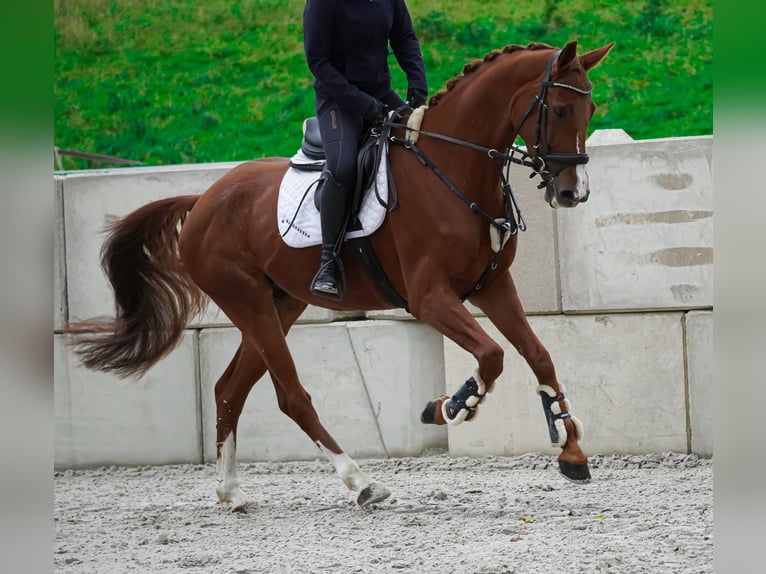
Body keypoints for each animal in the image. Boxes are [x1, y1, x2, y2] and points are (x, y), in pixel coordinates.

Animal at [70, 42, 612, 516]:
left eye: (590, 109)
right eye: (559, 109)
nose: (574, 192)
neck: (453, 171)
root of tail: (203, 199)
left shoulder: (494, 288)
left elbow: (537, 354)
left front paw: (570, 448)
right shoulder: (430, 298)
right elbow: (493, 355)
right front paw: (450, 407)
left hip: (279, 305)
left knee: (229, 389)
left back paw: (231, 492)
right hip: (249, 302)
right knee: (291, 397)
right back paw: (361, 482)